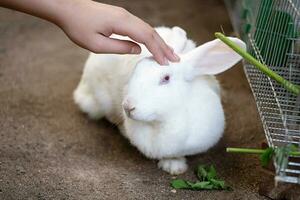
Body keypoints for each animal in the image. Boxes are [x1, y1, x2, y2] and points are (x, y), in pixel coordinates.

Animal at [74, 27, 245, 175]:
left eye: (166, 78)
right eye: (137, 69)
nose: (128, 107)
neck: (164, 120)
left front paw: (175, 166)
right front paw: (172, 166)